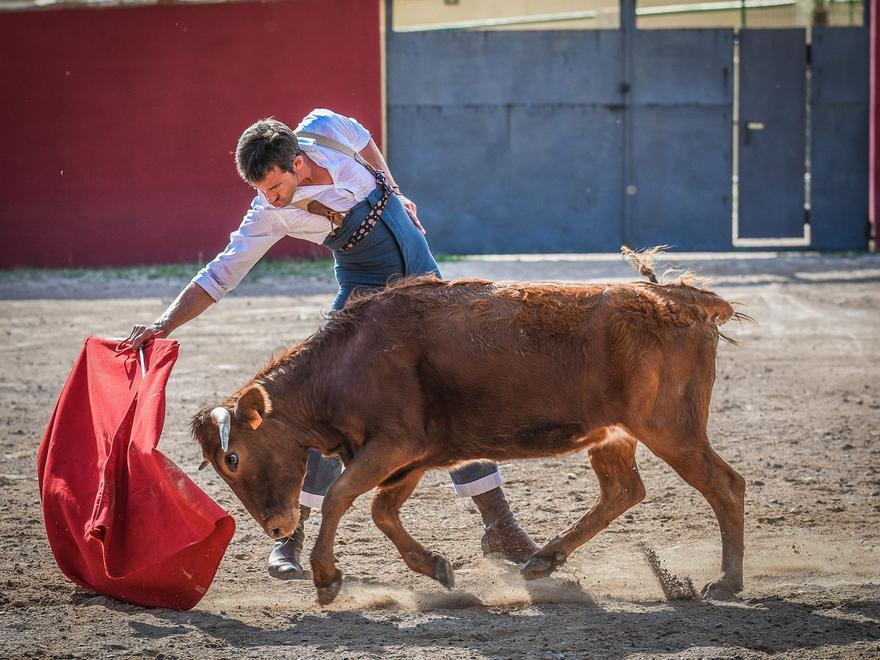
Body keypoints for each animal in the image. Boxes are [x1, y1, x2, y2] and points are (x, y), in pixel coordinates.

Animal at [194, 266, 748, 604]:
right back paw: (541, 561)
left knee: (725, 485)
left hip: (671, 430)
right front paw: (436, 567)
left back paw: (727, 581)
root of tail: (683, 298)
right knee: (622, 489)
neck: (348, 362)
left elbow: (339, 496)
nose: (276, 527)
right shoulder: (410, 460)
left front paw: (327, 579)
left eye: (234, 458)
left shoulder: (393, 446)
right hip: (614, 435)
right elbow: (380, 510)